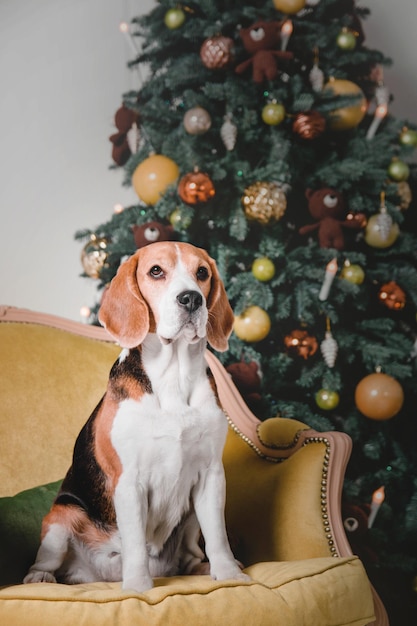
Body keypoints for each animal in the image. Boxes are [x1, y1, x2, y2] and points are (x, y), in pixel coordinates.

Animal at [25, 241, 247, 592]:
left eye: (202, 273)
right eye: (156, 271)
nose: (191, 298)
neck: (173, 377)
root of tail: (98, 577)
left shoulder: (211, 475)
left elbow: (218, 536)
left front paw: (229, 575)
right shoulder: (129, 481)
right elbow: (135, 543)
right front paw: (138, 588)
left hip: (190, 521)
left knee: (191, 554)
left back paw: (201, 568)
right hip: (62, 515)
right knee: (48, 558)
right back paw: (41, 577)